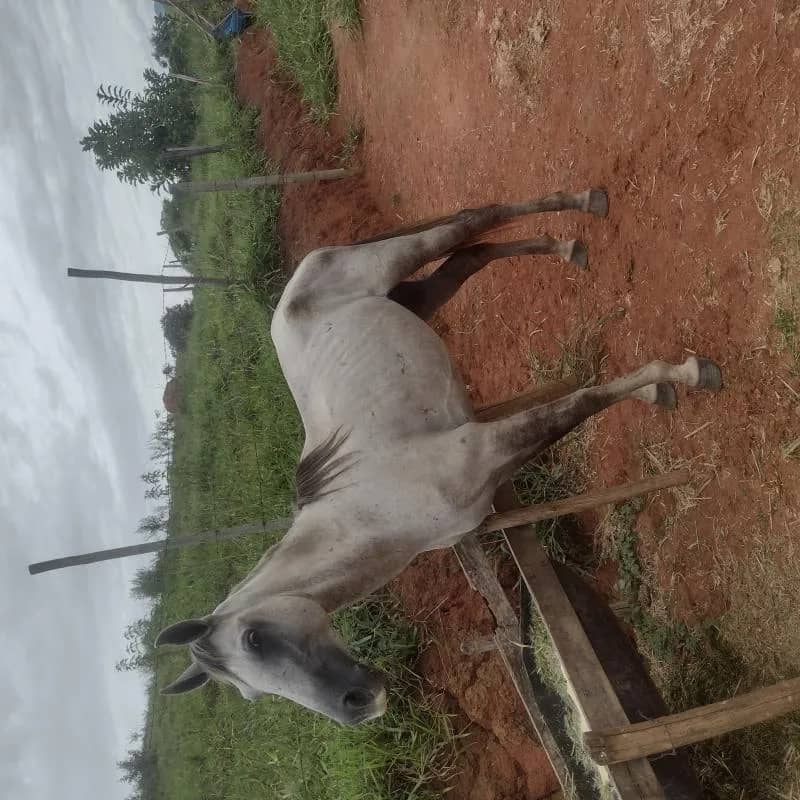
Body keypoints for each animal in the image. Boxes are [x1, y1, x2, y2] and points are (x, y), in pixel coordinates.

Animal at [155, 188, 722, 725]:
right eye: (251, 693)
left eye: (254, 639)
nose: (358, 705)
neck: (372, 513)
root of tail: (301, 278)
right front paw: (661, 388)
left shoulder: (488, 448)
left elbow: (581, 403)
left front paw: (682, 374)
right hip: (413, 299)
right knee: (471, 253)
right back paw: (567, 247)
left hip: (397, 259)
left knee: (474, 219)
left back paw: (587, 203)